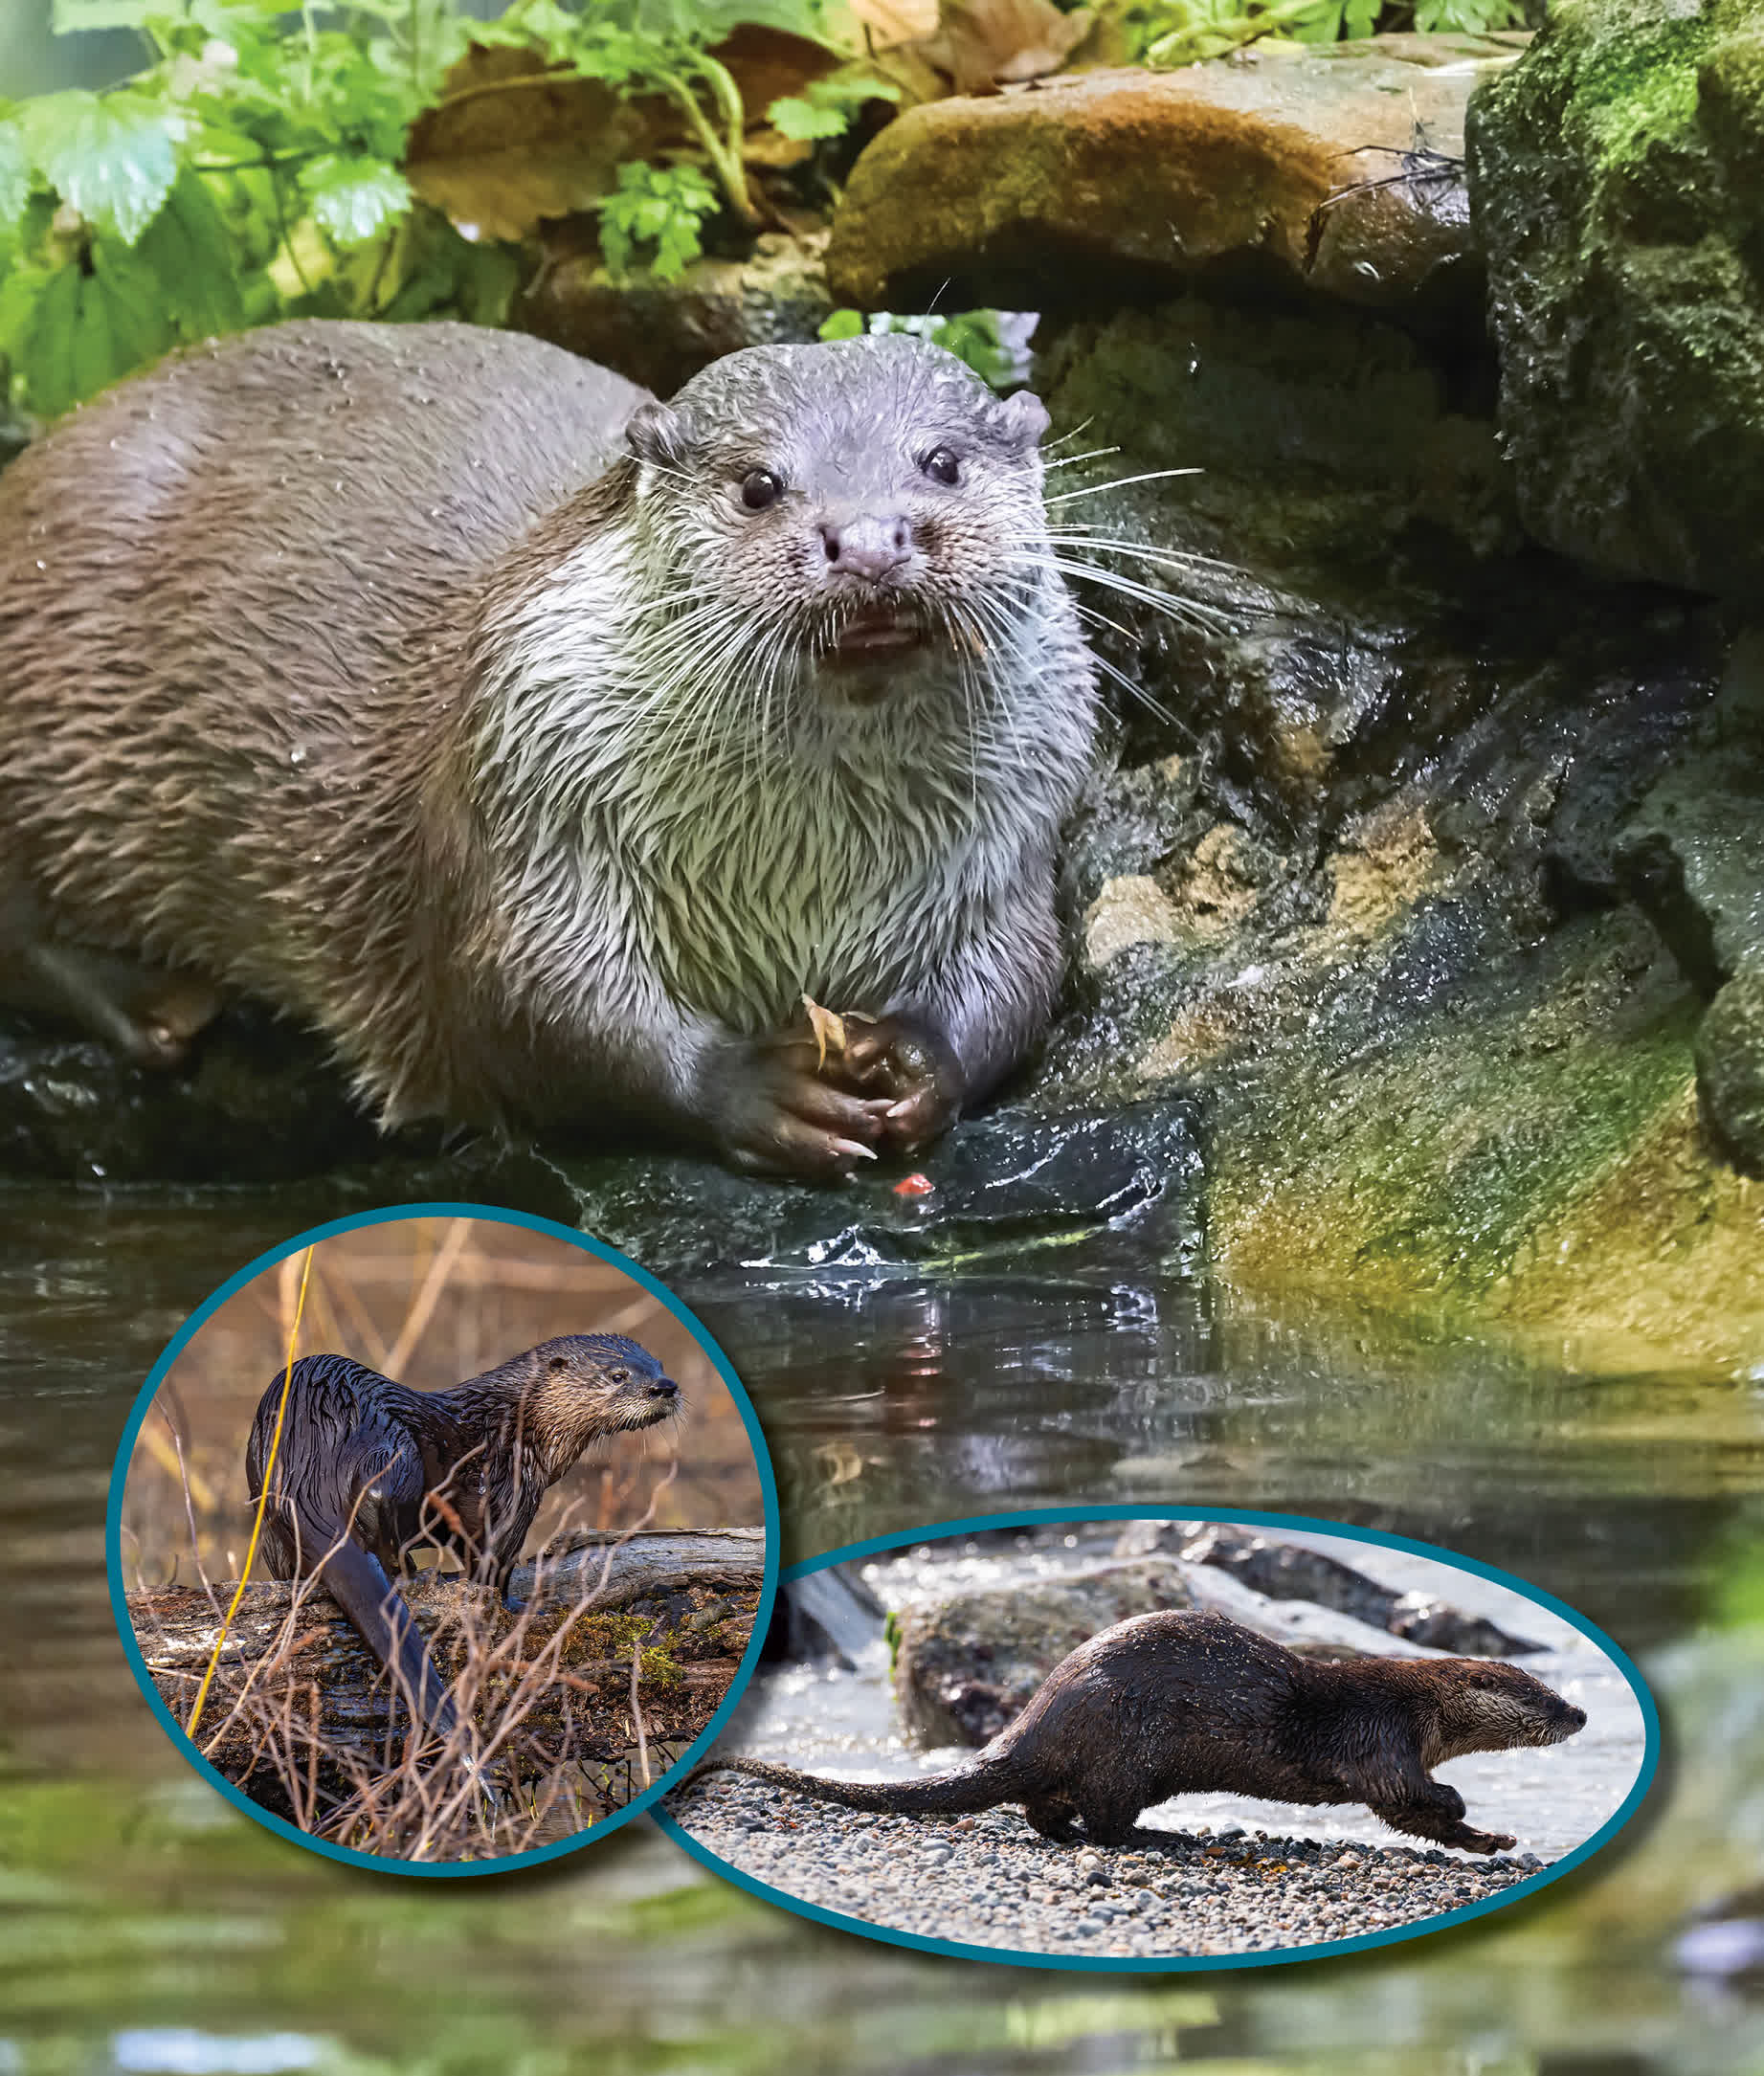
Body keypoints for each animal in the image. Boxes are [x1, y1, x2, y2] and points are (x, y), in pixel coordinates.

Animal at [0, 315, 1095, 1178]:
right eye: (757, 485)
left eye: (941, 462)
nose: (868, 539)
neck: (803, 876)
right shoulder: (524, 800)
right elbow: (531, 1004)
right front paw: (755, 1087)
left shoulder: (1007, 846)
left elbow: (1024, 974)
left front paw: (919, 1058)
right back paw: (156, 1007)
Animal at [245, 1328, 681, 1735]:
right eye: (618, 1376)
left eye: (658, 1364)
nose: (665, 1387)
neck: (516, 1424)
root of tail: (308, 1475)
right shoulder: (510, 1488)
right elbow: (494, 1563)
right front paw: (519, 1606)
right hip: (391, 1445)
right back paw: (413, 1572)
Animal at [672, 1602, 1576, 1851]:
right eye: (1539, 1696)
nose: (1580, 1712)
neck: (1419, 1708)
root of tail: (1037, 1716)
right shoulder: (1381, 1734)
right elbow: (1401, 1791)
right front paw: (1462, 1807)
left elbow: (1409, 1815)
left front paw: (1491, 1841)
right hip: (1126, 1751)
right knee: (1100, 1818)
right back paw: (1162, 1837)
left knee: (1040, 1806)